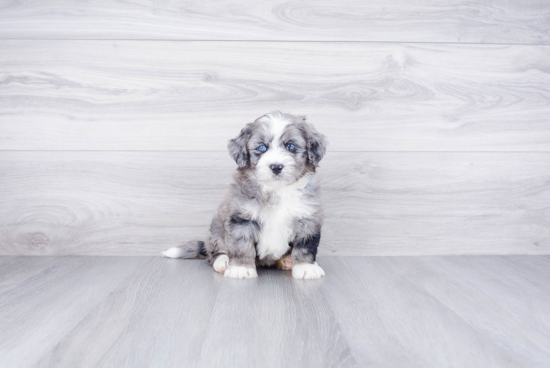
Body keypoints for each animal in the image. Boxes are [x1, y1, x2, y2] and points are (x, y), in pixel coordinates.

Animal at [164, 111, 328, 278]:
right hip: (216, 229)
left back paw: (286, 260)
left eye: (291, 146)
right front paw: (241, 267)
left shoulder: (308, 218)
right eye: (261, 147)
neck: (277, 190)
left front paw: (306, 267)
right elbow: (241, 245)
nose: (276, 167)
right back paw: (223, 262)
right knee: (215, 251)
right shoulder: (241, 218)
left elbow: (305, 246)